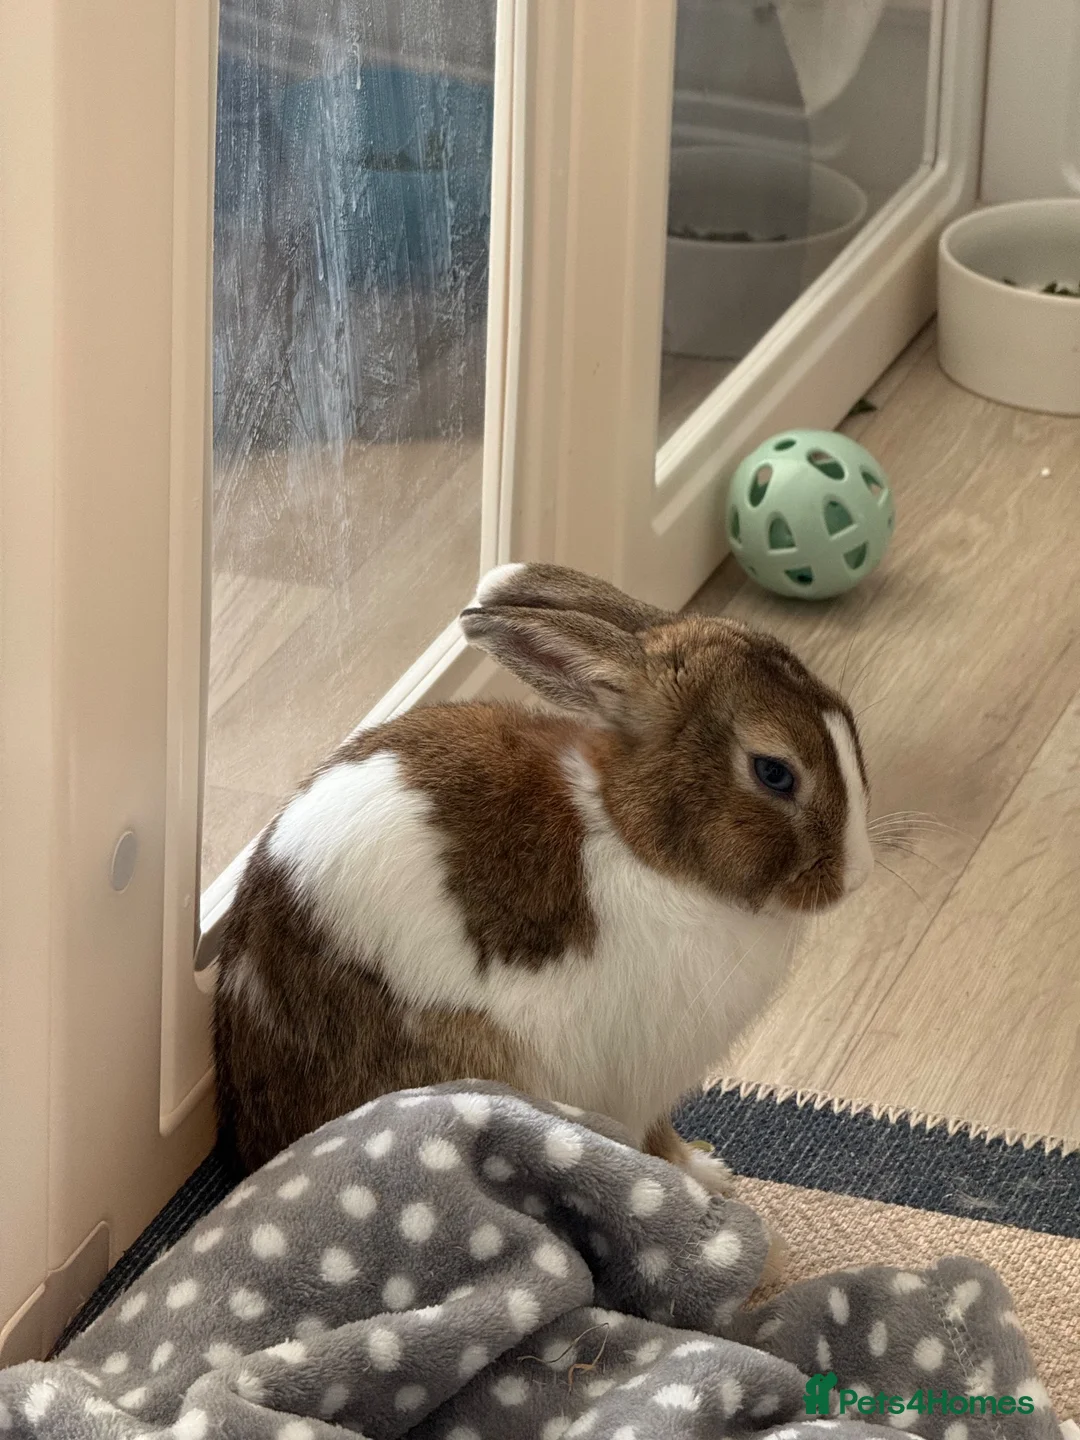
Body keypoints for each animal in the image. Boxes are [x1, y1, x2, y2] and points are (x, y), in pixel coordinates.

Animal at [212, 563, 874, 1193]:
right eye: (773, 772)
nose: (854, 877)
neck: (637, 841)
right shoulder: (639, 1078)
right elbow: (652, 1139)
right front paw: (702, 1180)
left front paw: (708, 1169)